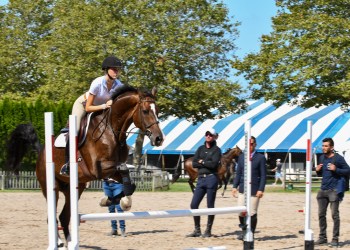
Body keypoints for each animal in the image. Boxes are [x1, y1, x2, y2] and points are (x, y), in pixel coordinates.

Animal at [5, 86, 164, 248]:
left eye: (157, 110)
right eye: (145, 111)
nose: (158, 139)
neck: (111, 130)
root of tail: (42, 151)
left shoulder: (112, 171)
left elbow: (130, 183)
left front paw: (115, 201)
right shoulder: (98, 169)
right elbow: (125, 169)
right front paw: (117, 201)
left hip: (74, 188)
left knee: (64, 216)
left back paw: (70, 242)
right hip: (51, 187)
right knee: (53, 216)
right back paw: (60, 242)